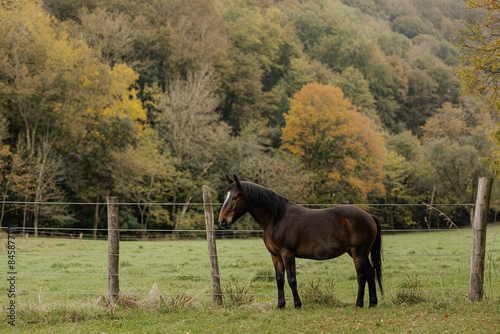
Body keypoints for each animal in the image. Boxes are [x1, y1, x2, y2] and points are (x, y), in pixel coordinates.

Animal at [218, 176, 382, 310]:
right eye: (225, 196)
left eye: (235, 197)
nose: (222, 220)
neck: (277, 218)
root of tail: (369, 216)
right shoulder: (275, 256)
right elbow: (279, 279)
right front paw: (280, 305)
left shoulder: (288, 253)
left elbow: (291, 279)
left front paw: (297, 304)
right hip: (359, 253)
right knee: (370, 272)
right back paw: (373, 303)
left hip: (358, 252)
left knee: (361, 275)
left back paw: (359, 304)